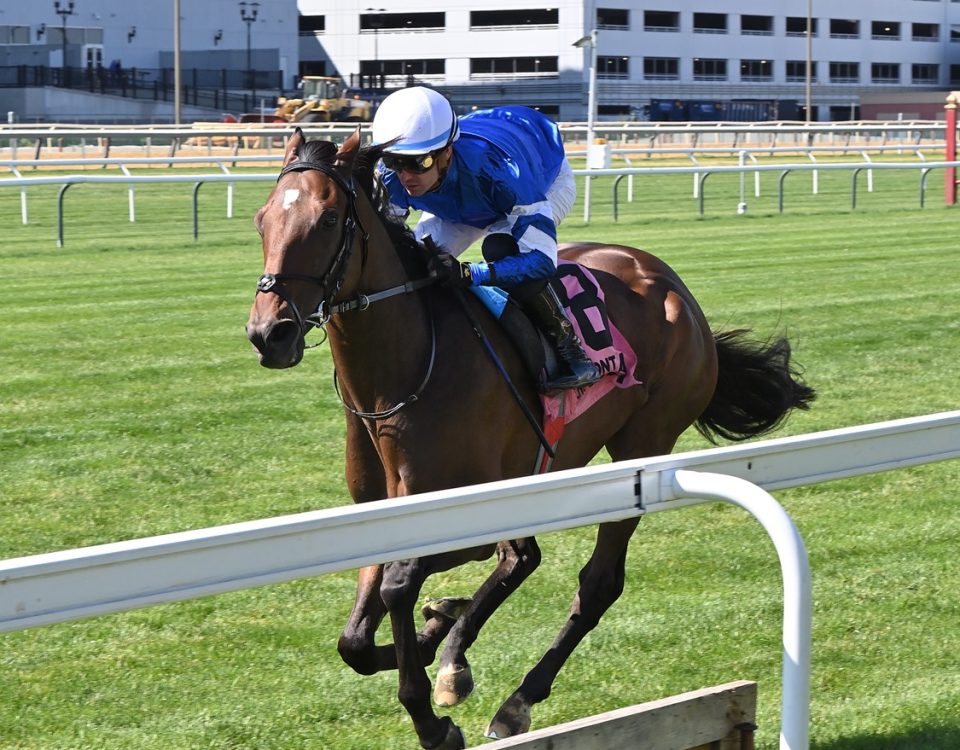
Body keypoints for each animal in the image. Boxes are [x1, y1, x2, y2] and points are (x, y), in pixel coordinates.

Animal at [244, 126, 812, 748]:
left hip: (645, 444)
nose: (269, 333)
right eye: (262, 218)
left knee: (595, 582)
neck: (405, 370)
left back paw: (515, 698)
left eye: (326, 220)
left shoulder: (466, 510)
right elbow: (356, 639)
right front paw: (439, 633)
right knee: (523, 557)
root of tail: (672, 286)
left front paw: (433, 709)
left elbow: (401, 584)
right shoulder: (379, 512)